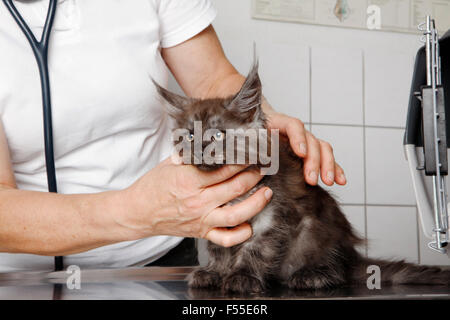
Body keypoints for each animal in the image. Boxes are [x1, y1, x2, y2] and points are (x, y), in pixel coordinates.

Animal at [152, 61, 450, 294]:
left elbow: (256, 249)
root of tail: (351, 257)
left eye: (216, 135)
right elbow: (219, 248)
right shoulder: (220, 217)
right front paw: (214, 272)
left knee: (337, 273)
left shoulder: (273, 215)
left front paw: (242, 277)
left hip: (313, 232)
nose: (198, 150)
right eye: (190, 135)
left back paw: (312, 276)